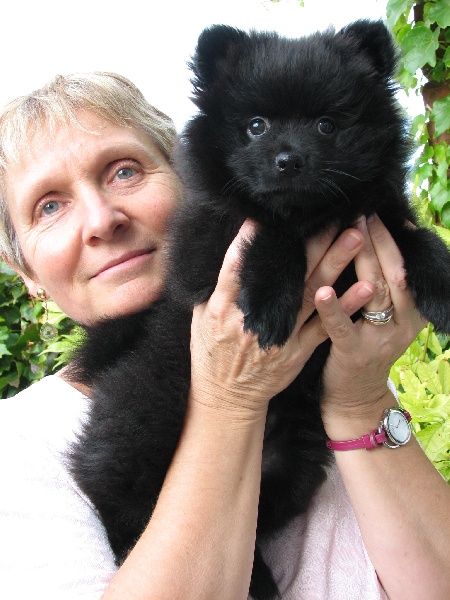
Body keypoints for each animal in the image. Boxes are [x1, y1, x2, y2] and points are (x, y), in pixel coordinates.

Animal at [69, 21, 450, 600]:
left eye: (326, 124)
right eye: (255, 126)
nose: (288, 160)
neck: (312, 213)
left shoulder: (374, 216)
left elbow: (412, 235)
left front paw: (446, 286)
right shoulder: (207, 246)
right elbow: (273, 232)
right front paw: (271, 302)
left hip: (292, 462)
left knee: (249, 523)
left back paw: (261, 580)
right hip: (148, 412)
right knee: (120, 495)